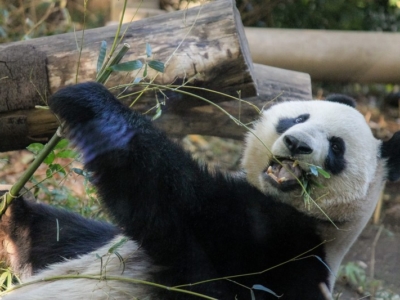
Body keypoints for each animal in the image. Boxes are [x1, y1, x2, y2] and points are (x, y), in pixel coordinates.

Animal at [0, 82, 398, 300]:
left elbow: (173, 203)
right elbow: (56, 239)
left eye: (336, 148)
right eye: (299, 118)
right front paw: (9, 212)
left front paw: (89, 99)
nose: (296, 143)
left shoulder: (272, 247)